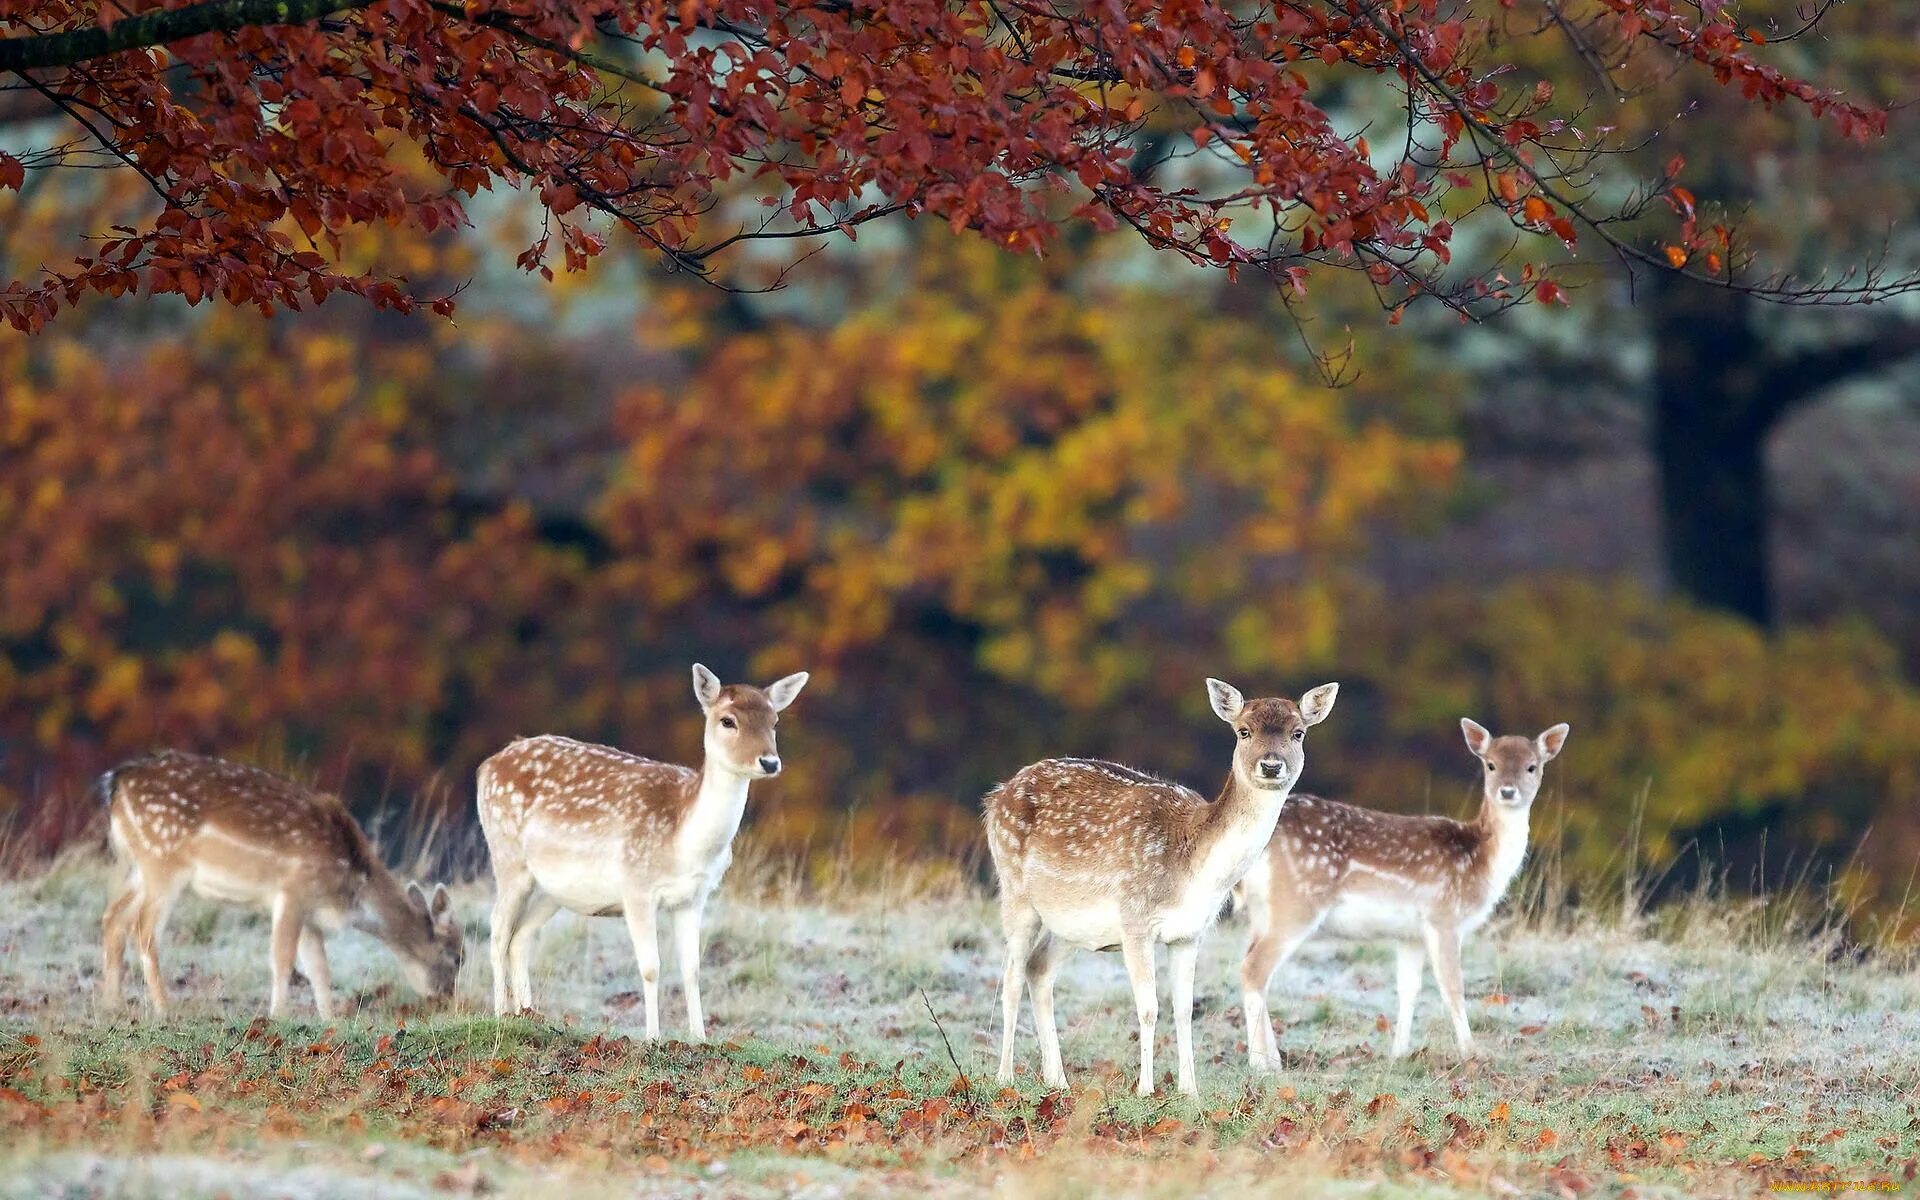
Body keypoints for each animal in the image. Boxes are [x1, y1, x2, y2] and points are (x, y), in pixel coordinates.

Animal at [100, 752, 464, 1013]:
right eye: (458, 957)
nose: (446, 998)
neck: (351, 880)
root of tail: (118, 783)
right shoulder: (293, 891)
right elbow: (282, 958)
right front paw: (278, 1016)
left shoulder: (311, 911)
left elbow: (319, 967)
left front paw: (329, 1019)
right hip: (163, 861)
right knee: (144, 929)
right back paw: (165, 1009)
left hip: (139, 867)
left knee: (113, 917)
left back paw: (114, 1005)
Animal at [483, 660, 814, 1036]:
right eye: (727, 720)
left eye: (774, 721)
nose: (769, 762)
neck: (684, 844)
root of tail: (486, 767)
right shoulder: (636, 887)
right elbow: (651, 967)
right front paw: (653, 1037)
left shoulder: (694, 896)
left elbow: (692, 969)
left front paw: (700, 1037)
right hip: (507, 858)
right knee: (497, 931)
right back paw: (501, 1014)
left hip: (551, 890)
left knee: (520, 937)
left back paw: (527, 1015)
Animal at [983, 679, 1344, 1090]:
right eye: (1243, 731)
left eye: (1298, 733)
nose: (1270, 765)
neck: (1193, 870)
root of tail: (996, 795)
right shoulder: (1135, 920)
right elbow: (1149, 1007)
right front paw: (1146, 1089)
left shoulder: (1189, 933)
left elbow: (1183, 1009)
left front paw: (1190, 1090)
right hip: (1014, 889)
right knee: (1011, 976)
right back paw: (1005, 1077)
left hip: (1071, 925)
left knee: (1038, 968)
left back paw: (1057, 1079)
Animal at [1236, 714, 1566, 1059]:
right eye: (1490, 765)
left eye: (1532, 766)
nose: (1508, 791)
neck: (1481, 861)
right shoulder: (1444, 916)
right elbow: (1453, 986)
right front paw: (1470, 1053)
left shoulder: (1410, 935)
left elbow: (1409, 989)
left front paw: (1398, 1053)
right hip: (1296, 903)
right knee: (1253, 969)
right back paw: (1263, 1063)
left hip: (1263, 912)